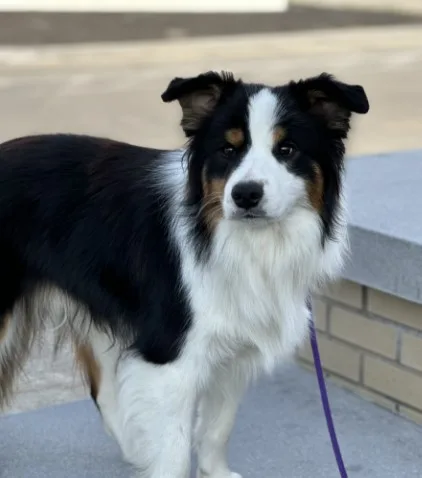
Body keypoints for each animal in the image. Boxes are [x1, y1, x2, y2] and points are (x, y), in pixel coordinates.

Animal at [0, 72, 368, 478]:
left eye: (287, 149)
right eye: (227, 150)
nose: (245, 195)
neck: (241, 241)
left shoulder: (233, 350)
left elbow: (217, 427)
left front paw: (215, 473)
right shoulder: (169, 356)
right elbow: (175, 451)